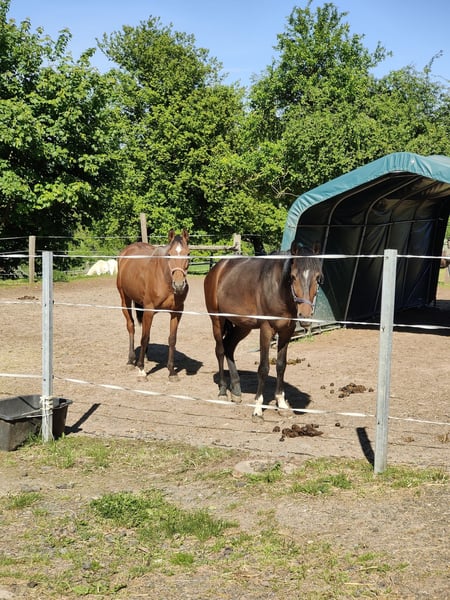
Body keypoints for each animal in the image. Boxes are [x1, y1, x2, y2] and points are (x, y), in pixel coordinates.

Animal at [116, 229, 190, 380]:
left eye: (188, 254)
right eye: (169, 254)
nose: (179, 285)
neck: (165, 279)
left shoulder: (176, 312)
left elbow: (172, 339)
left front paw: (171, 371)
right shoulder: (149, 310)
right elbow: (143, 338)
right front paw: (141, 369)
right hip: (125, 299)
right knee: (131, 326)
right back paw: (131, 360)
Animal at [204, 242, 323, 418]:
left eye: (317, 277)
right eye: (293, 277)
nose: (305, 316)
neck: (278, 290)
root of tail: (217, 268)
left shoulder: (286, 331)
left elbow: (281, 365)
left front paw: (281, 404)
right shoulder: (266, 330)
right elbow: (263, 368)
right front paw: (258, 409)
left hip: (243, 326)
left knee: (229, 347)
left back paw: (236, 391)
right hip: (217, 320)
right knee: (220, 350)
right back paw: (223, 391)